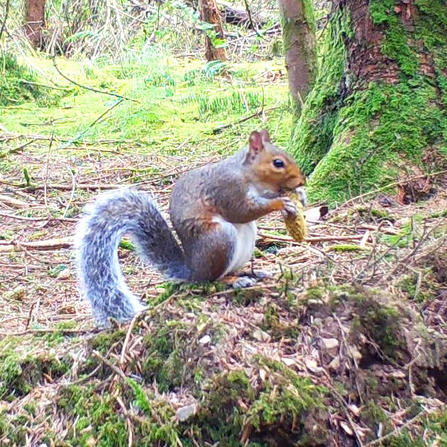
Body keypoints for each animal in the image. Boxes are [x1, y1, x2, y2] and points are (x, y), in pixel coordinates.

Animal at [77, 130, 308, 326]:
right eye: (278, 163)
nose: (302, 180)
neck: (247, 173)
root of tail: (193, 269)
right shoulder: (228, 190)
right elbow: (242, 211)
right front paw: (280, 202)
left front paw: (299, 196)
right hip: (221, 238)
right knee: (212, 279)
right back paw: (235, 280)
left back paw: (253, 272)